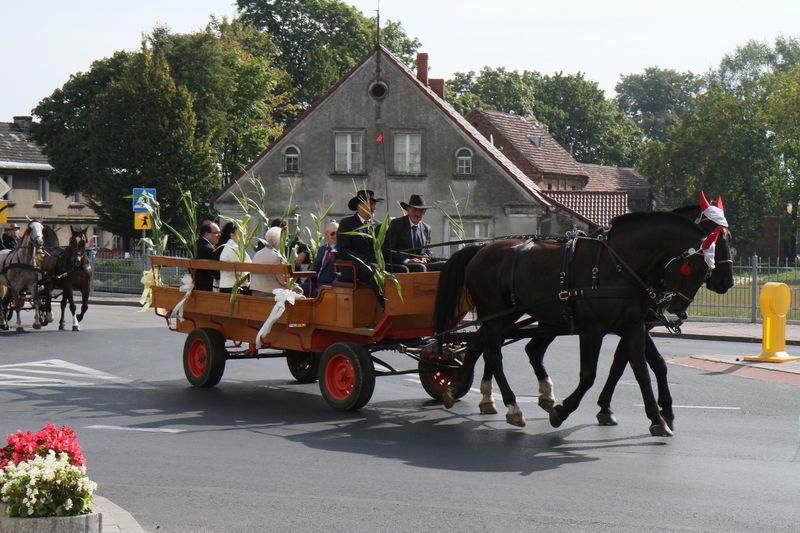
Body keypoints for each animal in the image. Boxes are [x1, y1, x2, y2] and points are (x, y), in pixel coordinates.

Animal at [434, 210, 720, 434]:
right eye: (695, 267)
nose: (678, 308)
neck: (618, 264)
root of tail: (481, 249)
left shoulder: (633, 328)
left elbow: (642, 371)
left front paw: (657, 418)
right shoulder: (592, 329)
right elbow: (589, 375)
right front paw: (562, 411)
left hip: (507, 316)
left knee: (482, 345)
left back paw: (464, 391)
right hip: (497, 313)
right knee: (494, 353)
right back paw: (512, 406)